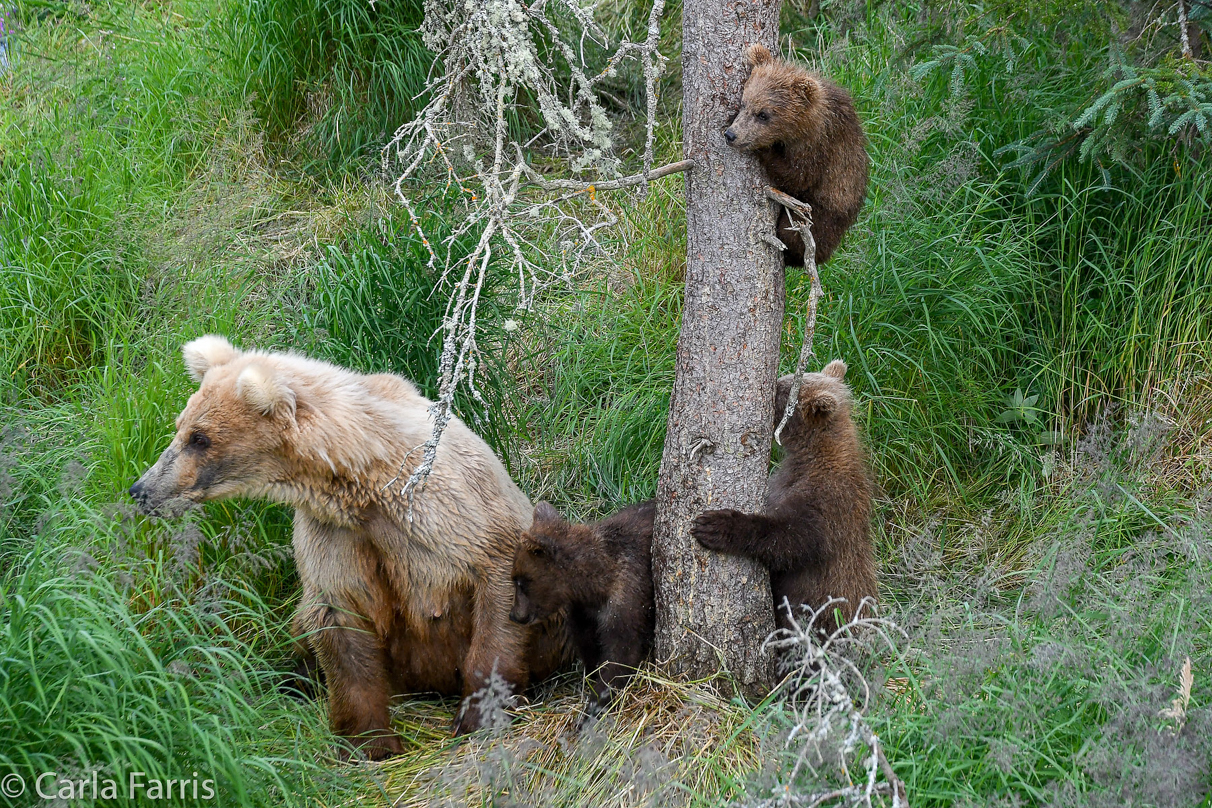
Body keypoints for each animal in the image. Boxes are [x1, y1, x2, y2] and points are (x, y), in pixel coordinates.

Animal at [127, 334, 572, 760]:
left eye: (199, 438)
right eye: (180, 426)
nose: (141, 489)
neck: (357, 480)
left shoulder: (444, 512)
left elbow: (497, 585)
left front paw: (478, 715)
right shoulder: (334, 533)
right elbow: (339, 620)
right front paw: (369, 742)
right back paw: (288, 680)